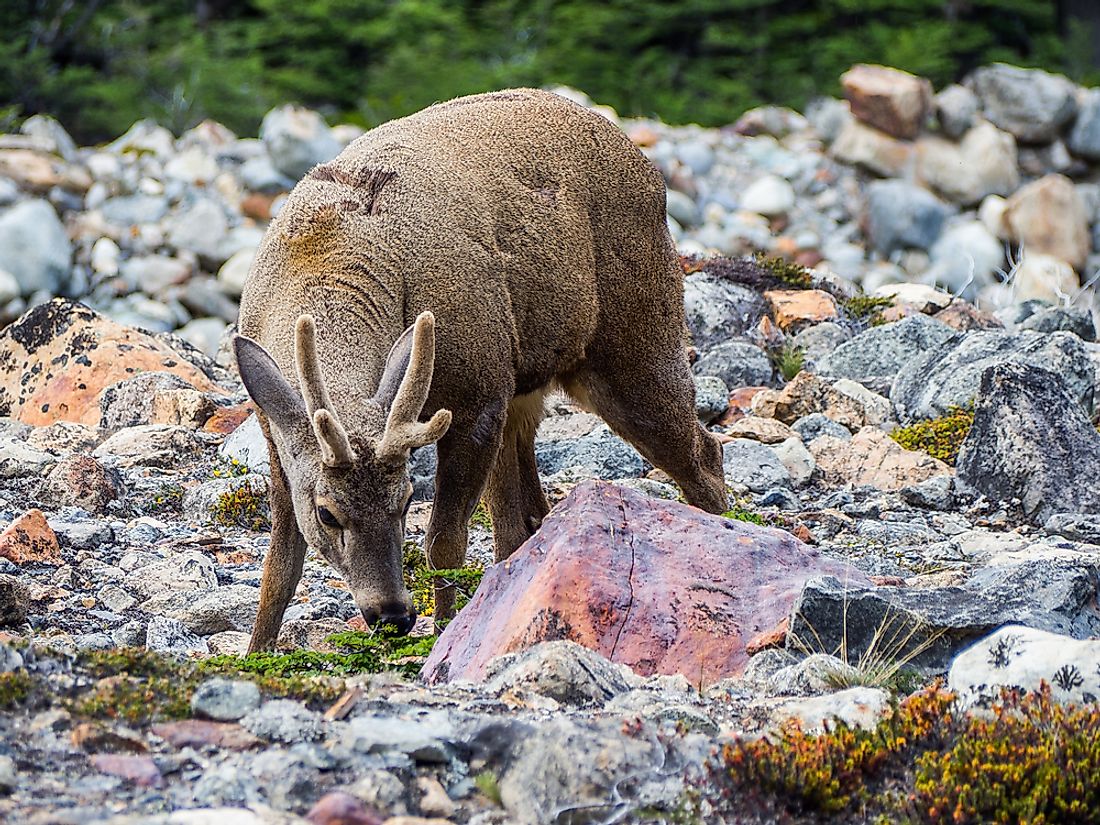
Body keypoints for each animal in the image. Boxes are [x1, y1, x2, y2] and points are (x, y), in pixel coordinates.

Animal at [232, 85, 730, 651]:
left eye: (407, 498)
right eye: (326, 512)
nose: (393, 615)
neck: (323, 250)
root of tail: (647, 166)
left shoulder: (477, 394)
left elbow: (443, 544)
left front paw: (441, 637)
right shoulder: (274, 429)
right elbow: (280, 565)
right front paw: (255, 652)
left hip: (636, 339)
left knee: (703, 453)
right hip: (527, 383)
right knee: (529, 516)